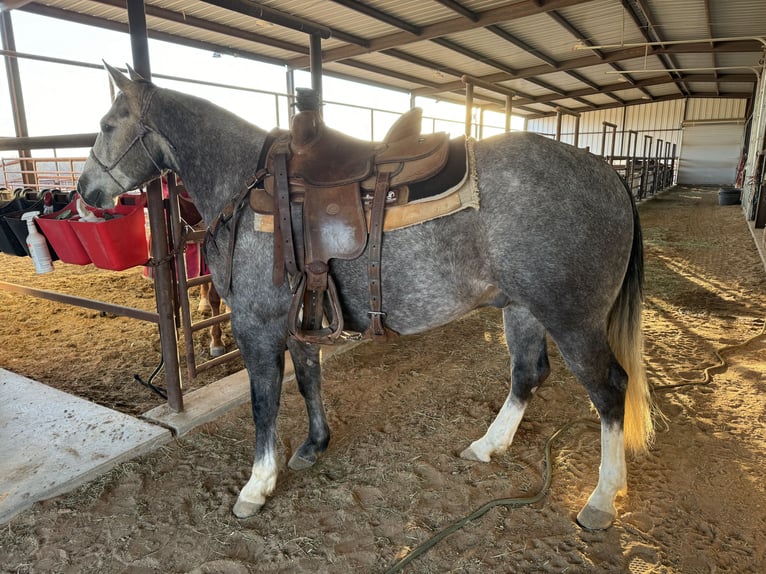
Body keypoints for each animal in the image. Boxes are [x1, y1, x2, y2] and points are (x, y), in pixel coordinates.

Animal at [78, 65, 656, 532]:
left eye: (106, 125)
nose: (85, 192)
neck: (251, 187)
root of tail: (608, 173)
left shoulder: (257, 325)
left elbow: (264, 402)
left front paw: (257, 486)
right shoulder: (298, 318)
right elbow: (308, 379)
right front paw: (314, 445)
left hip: (573, 319)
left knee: (610, 390)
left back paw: (602, 498)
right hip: (523, 310)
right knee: (528, 374)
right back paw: (488, 445)